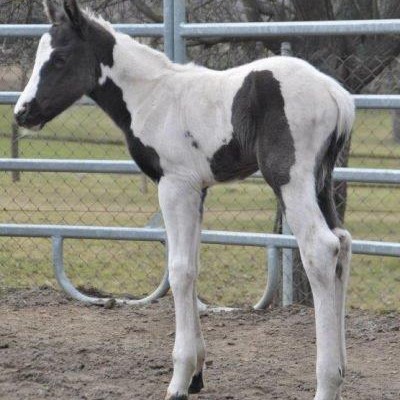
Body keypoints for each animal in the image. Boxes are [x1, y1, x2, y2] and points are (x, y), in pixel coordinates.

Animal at [14, 1, 355, 399]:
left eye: (59, 58)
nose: (22, 113)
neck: (152, 98)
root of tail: (336, 95)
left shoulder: (175, 185)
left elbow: (178, 270)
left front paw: (178, 379)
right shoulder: (197, 190)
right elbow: (192, 266)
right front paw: (196, 374)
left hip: (290, 179)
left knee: (321, 249)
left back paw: (326, 381)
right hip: (321, 181)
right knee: (343, 244)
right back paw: (342, 370)